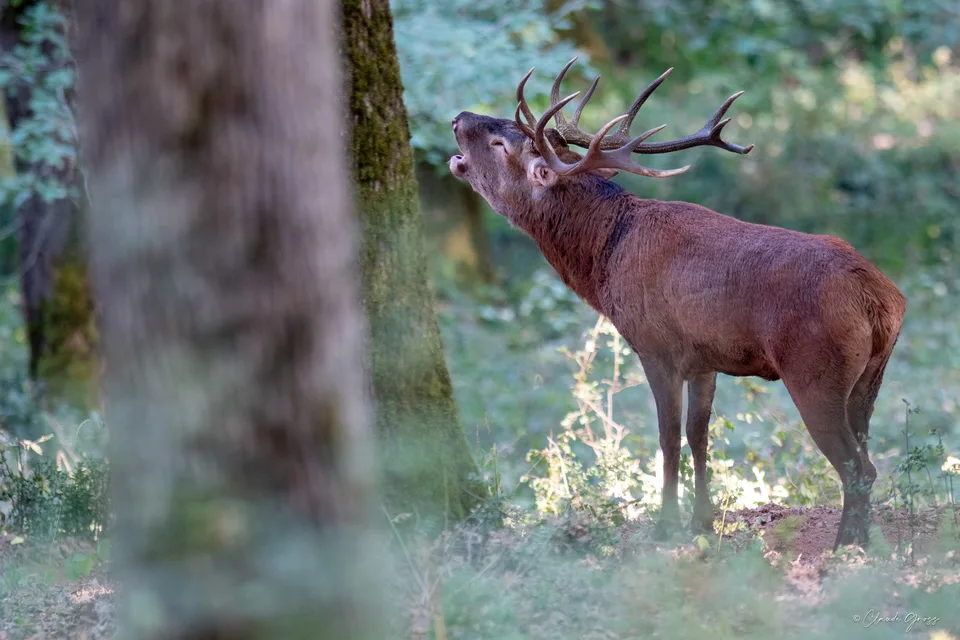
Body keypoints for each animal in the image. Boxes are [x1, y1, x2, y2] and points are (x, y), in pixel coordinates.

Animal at [449, 58, 906, 549]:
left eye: (500, 144)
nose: (458, 117)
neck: (607, 255)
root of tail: (881, 298)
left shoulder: (656, 346)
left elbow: (667, 437)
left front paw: (665, 525)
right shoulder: (705, 358)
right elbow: (698, 434)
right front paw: (702, 522)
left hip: (814, 370)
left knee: (858, 468)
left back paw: (846, 547)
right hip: (869, 378)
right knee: (866, 454)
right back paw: (863, 540)